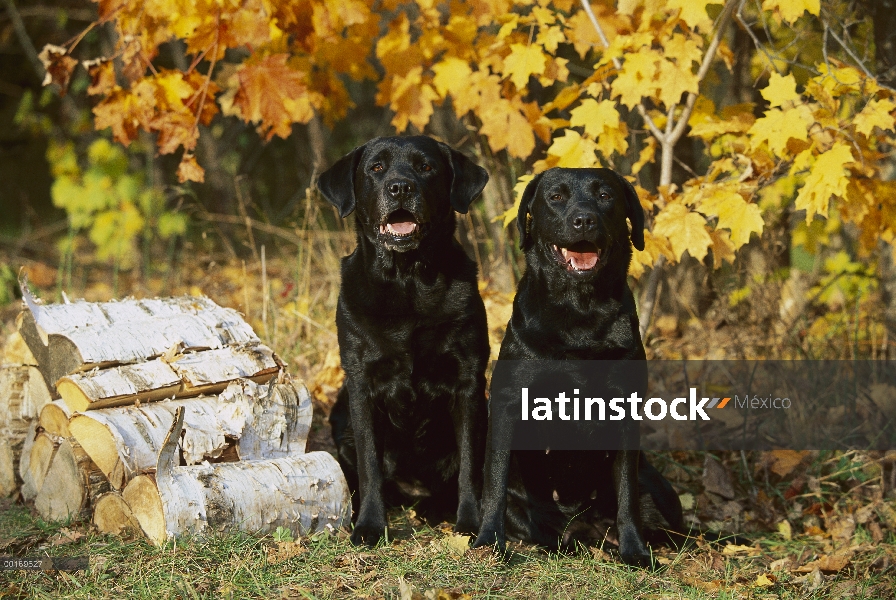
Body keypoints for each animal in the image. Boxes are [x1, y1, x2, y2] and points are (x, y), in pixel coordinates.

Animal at [316, 135, 490, 544]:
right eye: (376, 167)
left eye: (425, 167)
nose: (400, 187)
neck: (407, 280)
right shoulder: (362, 385)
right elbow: (370, 466)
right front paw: (368, 525)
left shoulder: (469, 382)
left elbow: (469, 466)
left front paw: (469, 524)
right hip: (340, 413)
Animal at [472, 166, 684, 564]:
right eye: (556, 196)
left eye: (605, 196)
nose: (584, 220)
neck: (579, 313)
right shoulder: (509, 403)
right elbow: (495, 482)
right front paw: (487, 542)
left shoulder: (625, 410)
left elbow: (627, 497)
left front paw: (635, 552)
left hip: (660, 490)